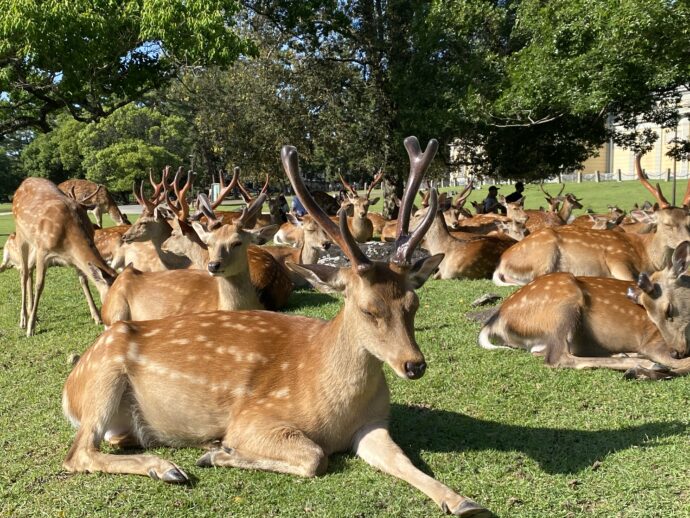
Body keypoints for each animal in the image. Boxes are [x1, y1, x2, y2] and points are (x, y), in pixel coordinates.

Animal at [11, 178, 116, 338]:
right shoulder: (43, 250)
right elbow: (40, 285)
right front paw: (31, 328)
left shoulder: (73, 259)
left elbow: (83, 280)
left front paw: (96, 316)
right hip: (22, 236)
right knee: (24, 273)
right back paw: (23, 320)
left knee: (28, 270)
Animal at [492, 152, 688, 290]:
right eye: (666, 223)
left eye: (689, 222)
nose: (686, 245)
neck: (647, 257)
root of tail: (501, 264)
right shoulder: (617, 258)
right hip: (543, 256)